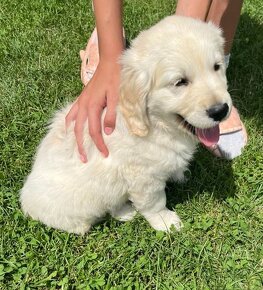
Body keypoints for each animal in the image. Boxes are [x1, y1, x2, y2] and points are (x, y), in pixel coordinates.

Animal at [20, 15, 233, 233]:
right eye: (180, 82)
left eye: (216, 67)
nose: (220, 110)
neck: (157, 125)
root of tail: (26, 201)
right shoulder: (143, 176)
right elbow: (154, 202)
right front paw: (165, 221)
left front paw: (179, 173)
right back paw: (125, 212)